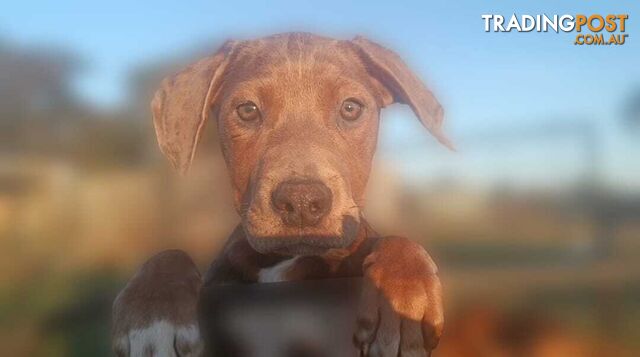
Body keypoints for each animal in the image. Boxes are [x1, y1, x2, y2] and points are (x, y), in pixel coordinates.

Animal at [111, 32, 450, 354]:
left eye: (351, 108)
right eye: (247, 110)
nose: (301, 200)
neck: (286, 259)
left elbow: (398, 242)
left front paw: (405, 302)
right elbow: (169, 254)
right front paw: (152, 316)